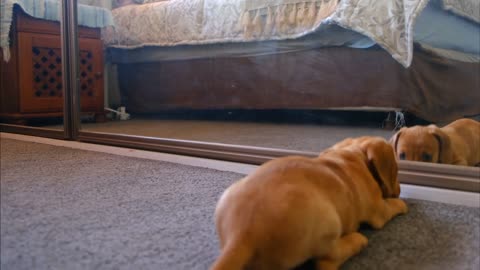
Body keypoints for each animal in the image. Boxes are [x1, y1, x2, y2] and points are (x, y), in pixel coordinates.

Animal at [212, 137, 406, 270]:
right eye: (396, 171)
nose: (399, 189)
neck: (352, 155)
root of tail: (240, 236)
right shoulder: (379, 210)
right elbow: (391, 205)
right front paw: (401, 204)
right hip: (329, 222)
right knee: (326, 262)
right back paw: (357, 240)